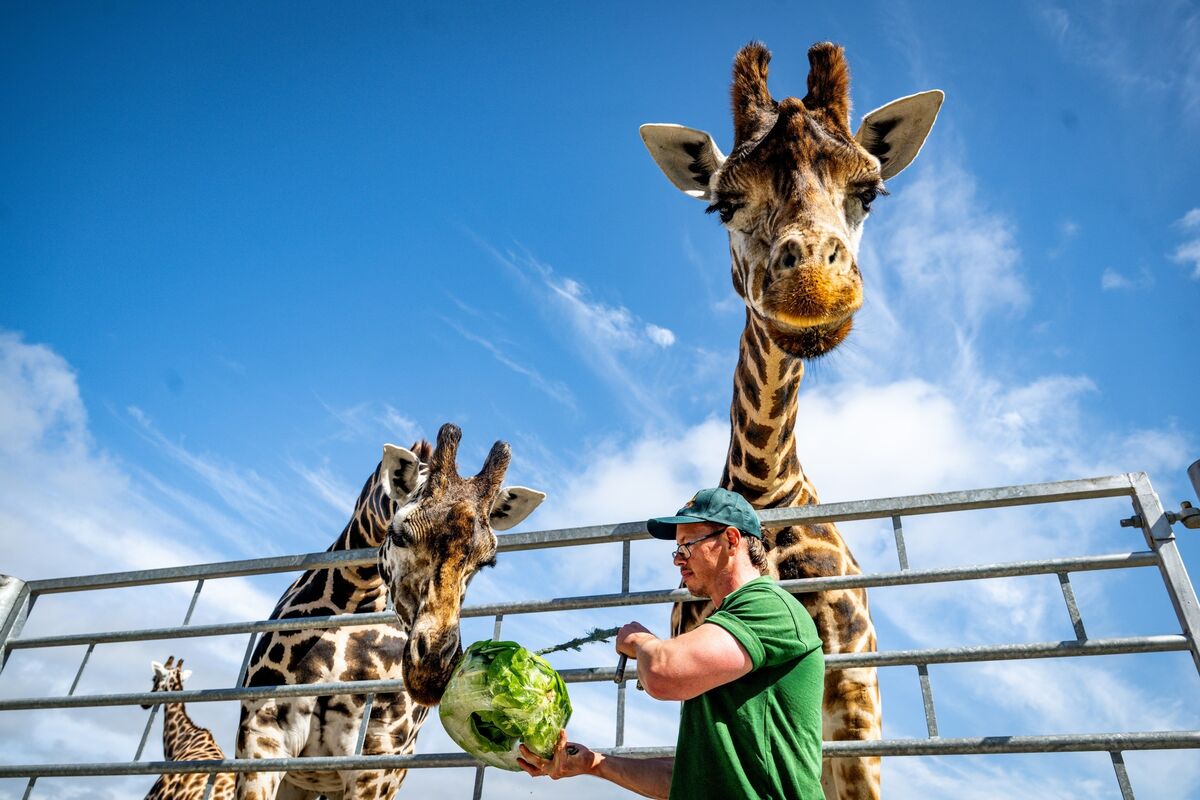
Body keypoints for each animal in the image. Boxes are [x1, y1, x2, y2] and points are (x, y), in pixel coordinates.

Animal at [235, 423, 544, 800]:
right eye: (398, 535)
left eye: (487, 562)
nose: (430, 672)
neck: (355, 597)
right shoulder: (263, 736)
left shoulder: (377, 761)